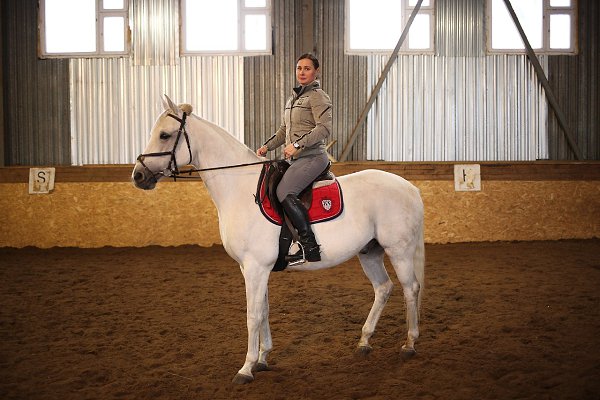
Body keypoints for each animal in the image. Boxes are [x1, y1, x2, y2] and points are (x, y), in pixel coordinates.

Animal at [131, 96, 424, 384]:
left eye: (165, 135)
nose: (138, 176)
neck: (240, 189)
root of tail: (409, 187)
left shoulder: (255, 267)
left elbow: (252, 315)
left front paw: (246, 368)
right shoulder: (252, 269)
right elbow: (264, 310)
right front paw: (262, 359)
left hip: (398, 250)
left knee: (410, 289)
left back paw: (409, 345)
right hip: (369, 252)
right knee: (383, 288)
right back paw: (364, 341)